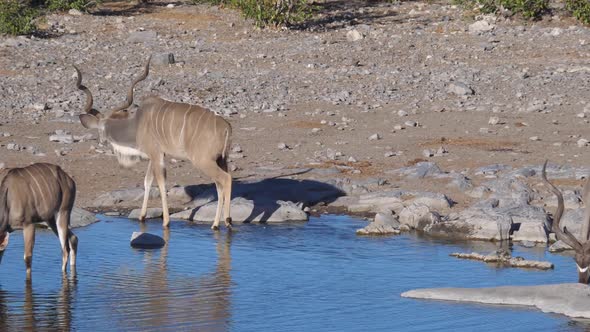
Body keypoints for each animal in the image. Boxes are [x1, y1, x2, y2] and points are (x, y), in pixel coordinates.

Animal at [76, 57, 236, 230]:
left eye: (101, 129)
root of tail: (226, 126)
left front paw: (166, 221)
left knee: (226, 179)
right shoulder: (155, 156)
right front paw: (142, 216)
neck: (137, 124)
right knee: (220, 185)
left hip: (203, 161)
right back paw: (218, 223)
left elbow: (161, 183)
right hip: (221, 159)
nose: (101, 141)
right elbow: (147, 181)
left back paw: (225, 221)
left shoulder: (156, 154)